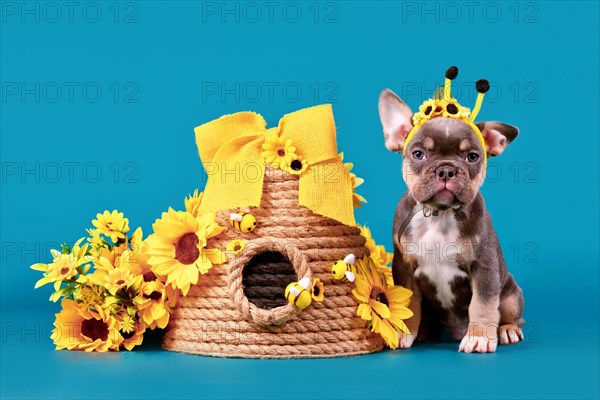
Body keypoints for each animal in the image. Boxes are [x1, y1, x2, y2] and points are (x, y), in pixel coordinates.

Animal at [380, 88, 524, 354]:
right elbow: (409, 304)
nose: (446, 170)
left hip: (510, 294)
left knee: (513, 316)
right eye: (418, 154)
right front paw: (404, 332)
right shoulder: (404, 267)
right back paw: (423, 331)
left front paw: (479, 337)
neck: (440, 214)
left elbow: (482, 304)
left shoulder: (484, 267)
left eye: (472, 157)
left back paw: (507, 330)